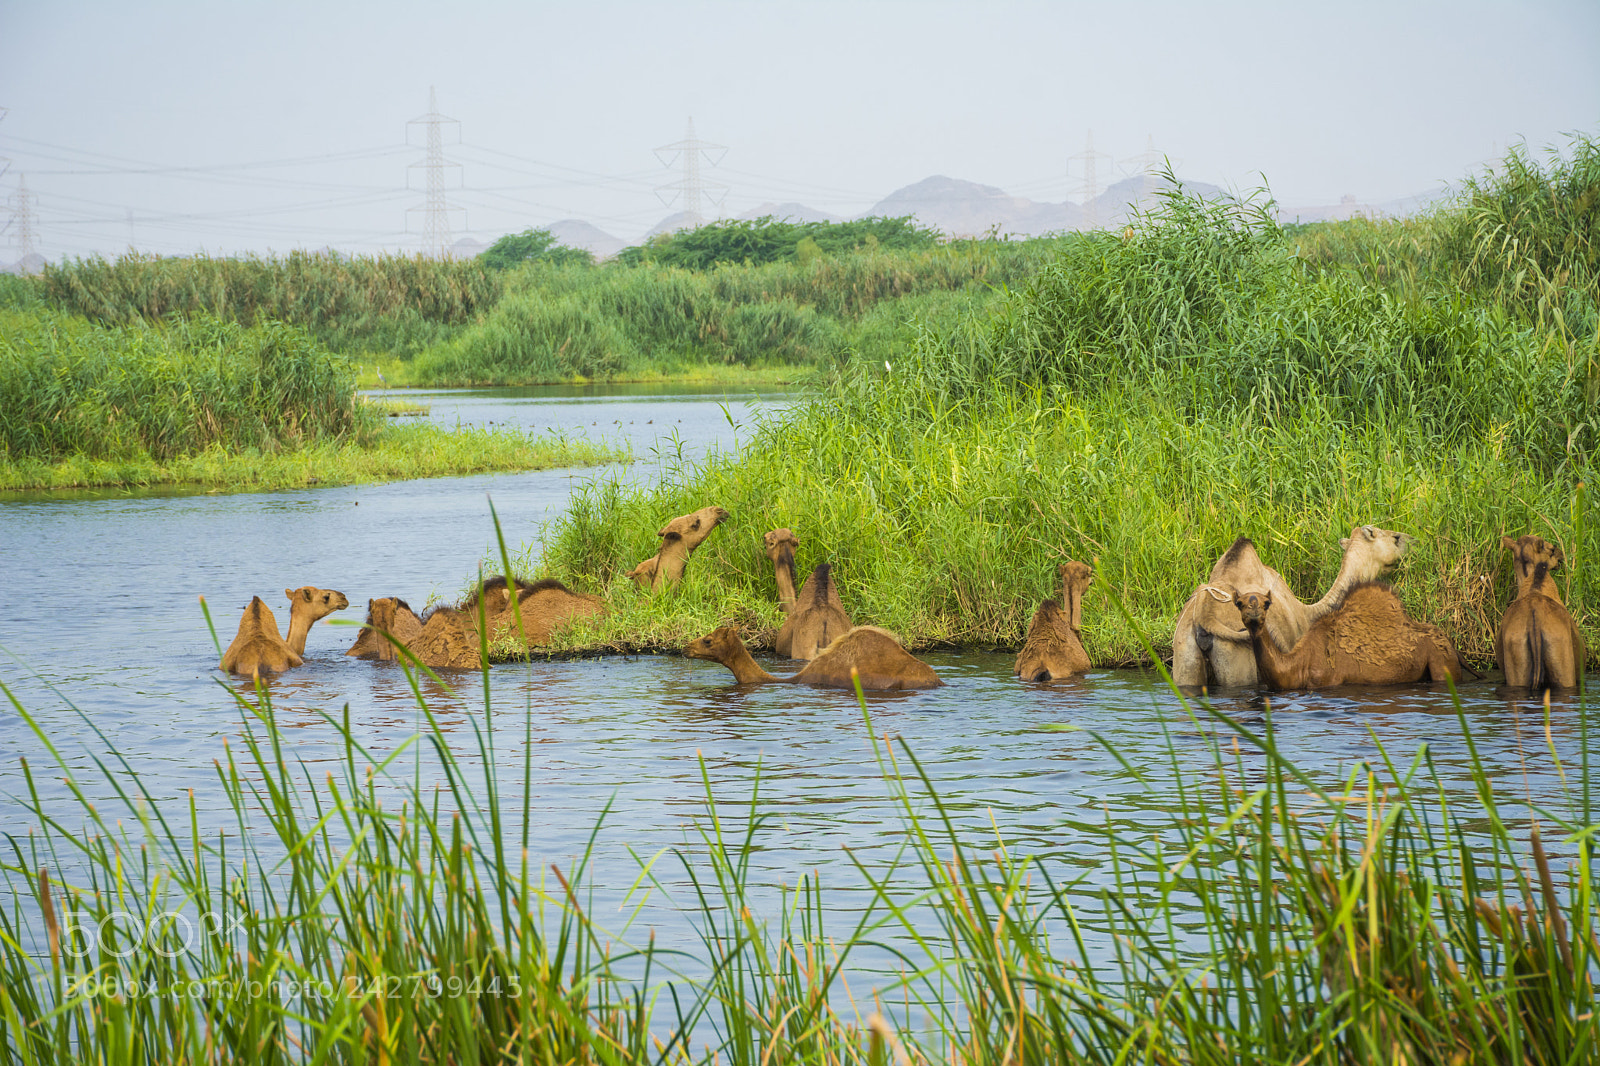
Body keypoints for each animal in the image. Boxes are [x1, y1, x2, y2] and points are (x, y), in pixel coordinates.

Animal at [1171, 524, 1414, 689]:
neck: (1306, 613)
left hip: (1183, 656)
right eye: (1395, 537)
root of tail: (1204, 616)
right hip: (1236, 661)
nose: (1415, 540)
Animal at [1234, 583, 1470, 689]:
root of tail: (1451, 645)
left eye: (1267, 603)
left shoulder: (1328, 681)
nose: (1254, 610)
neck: (1295, 667)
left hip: (1442, 663)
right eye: (1239, 603)